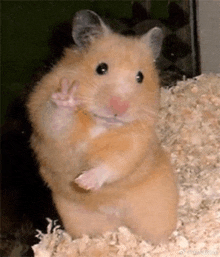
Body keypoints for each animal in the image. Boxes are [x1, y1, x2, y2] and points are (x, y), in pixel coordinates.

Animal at [27, 9, 179, 242]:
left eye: (140, 77)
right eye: (101, 68)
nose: (119, 107)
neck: (100, 124)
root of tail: (117, 220)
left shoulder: (136, 141)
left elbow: (115, 163)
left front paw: (84, 182)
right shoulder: (46, 121)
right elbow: (56, 120)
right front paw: (67, 97)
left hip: (157, 209)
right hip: (79, 219)